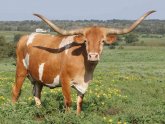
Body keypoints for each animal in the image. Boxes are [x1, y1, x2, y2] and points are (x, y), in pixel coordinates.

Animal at [11, 10, 155, 114]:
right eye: (86, 41)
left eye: (102, 41)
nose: (93, 56)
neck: (84, 67)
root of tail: (26, 37)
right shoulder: (65, 81)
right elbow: (68, 101)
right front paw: (68, 117)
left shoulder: (84, 85)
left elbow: (79, 103)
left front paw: (78, 116)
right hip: (21, 70)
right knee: (16, 91)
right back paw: (13, 110)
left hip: (38, 77)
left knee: (37, 93)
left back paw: (40, 111)